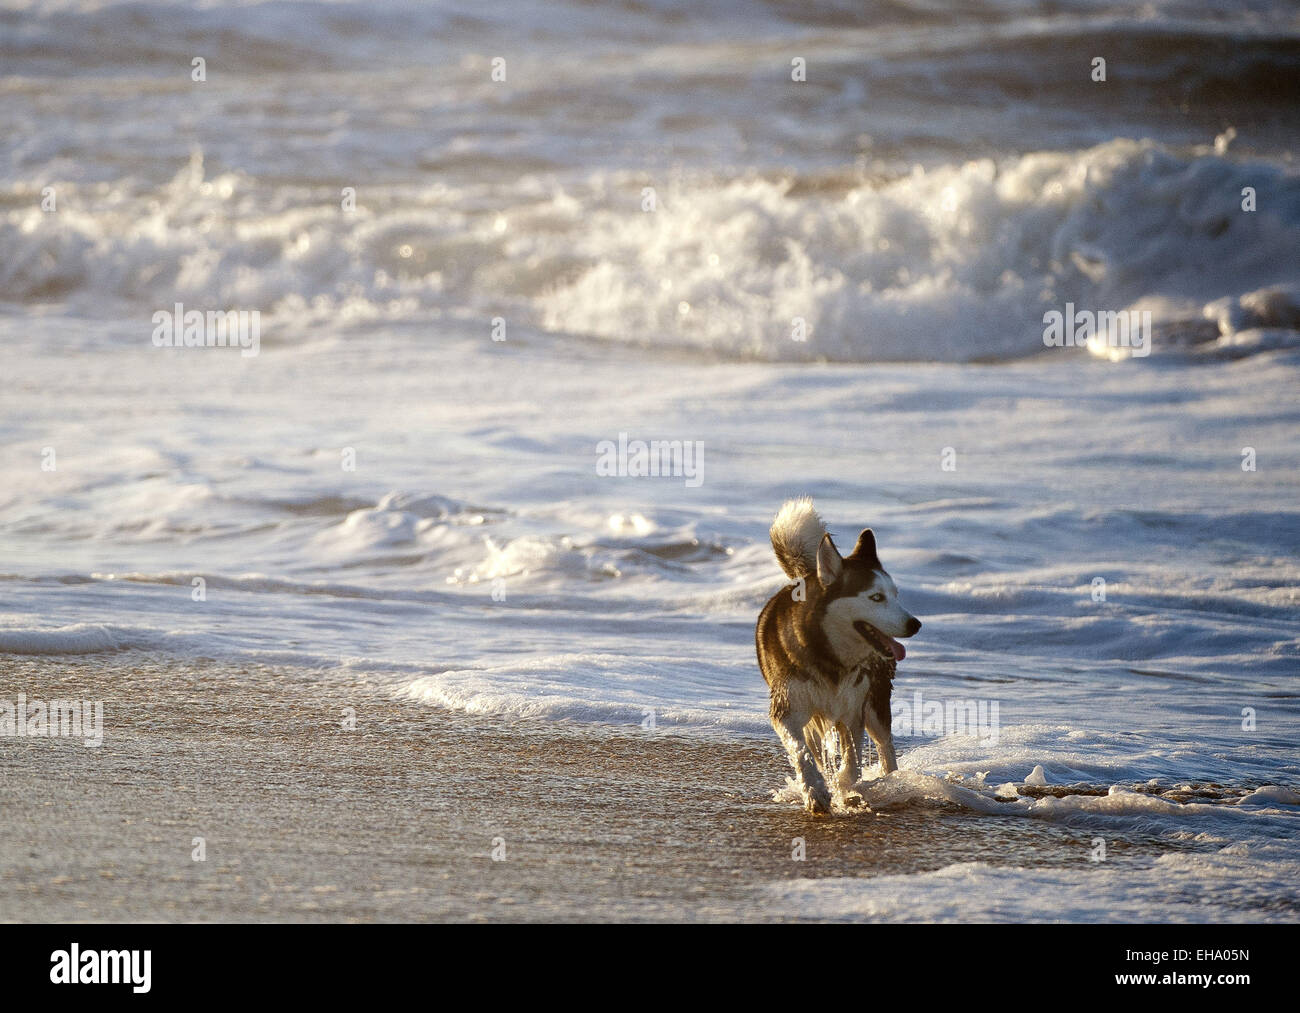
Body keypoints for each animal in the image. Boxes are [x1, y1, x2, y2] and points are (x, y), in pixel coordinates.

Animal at [759, 499, 920, 816]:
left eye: (895, 595)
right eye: (876, 597)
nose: (915, 624)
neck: (828, 655)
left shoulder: (852, 709)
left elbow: (852, 760)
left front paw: (847, 787)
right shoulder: (789, 710)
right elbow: (801, 753)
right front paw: (816, 791)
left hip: (876, 700)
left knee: (885, 745)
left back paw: (891, 780)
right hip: (816, 719)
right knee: (816, 749)